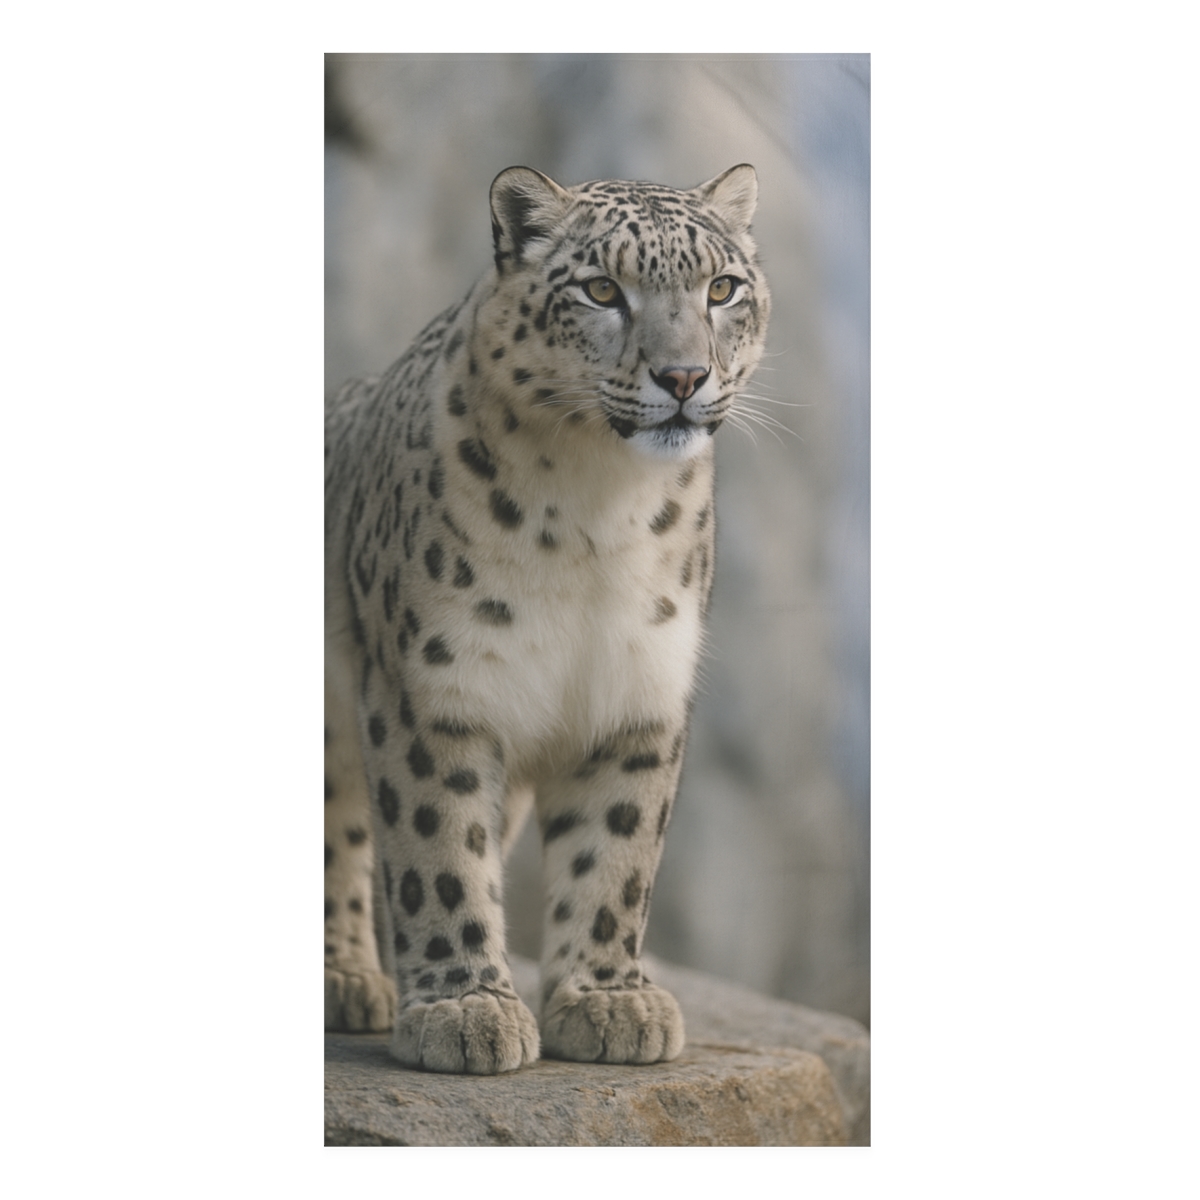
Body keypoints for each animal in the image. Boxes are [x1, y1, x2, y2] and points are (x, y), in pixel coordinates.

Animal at [324, 163, 771, 1073]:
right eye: (602, 289)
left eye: (722, 288)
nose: (683, 378)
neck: (598, 510)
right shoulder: (431, 690)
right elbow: (439, 850)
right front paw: (464, 1008)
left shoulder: (639, 694)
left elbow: (617, 852)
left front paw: (606, 1001)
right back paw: (346, 979)